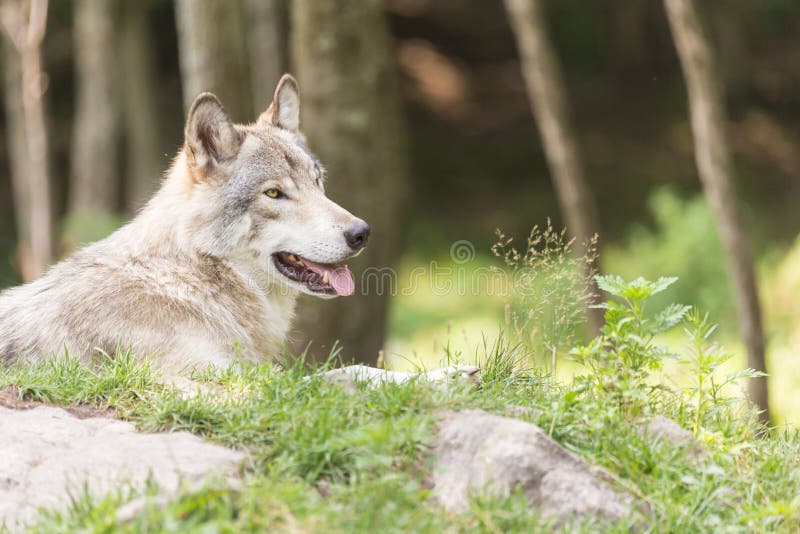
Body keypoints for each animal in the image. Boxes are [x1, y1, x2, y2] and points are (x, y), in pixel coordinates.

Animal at [0, 74, 478, 384]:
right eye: (274, 194)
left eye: (317, 182)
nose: (361, 233)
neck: (190, 278)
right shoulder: (219, 384)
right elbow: (344, 379)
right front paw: (438, 381)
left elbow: (353, 370)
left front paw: (449, 373)